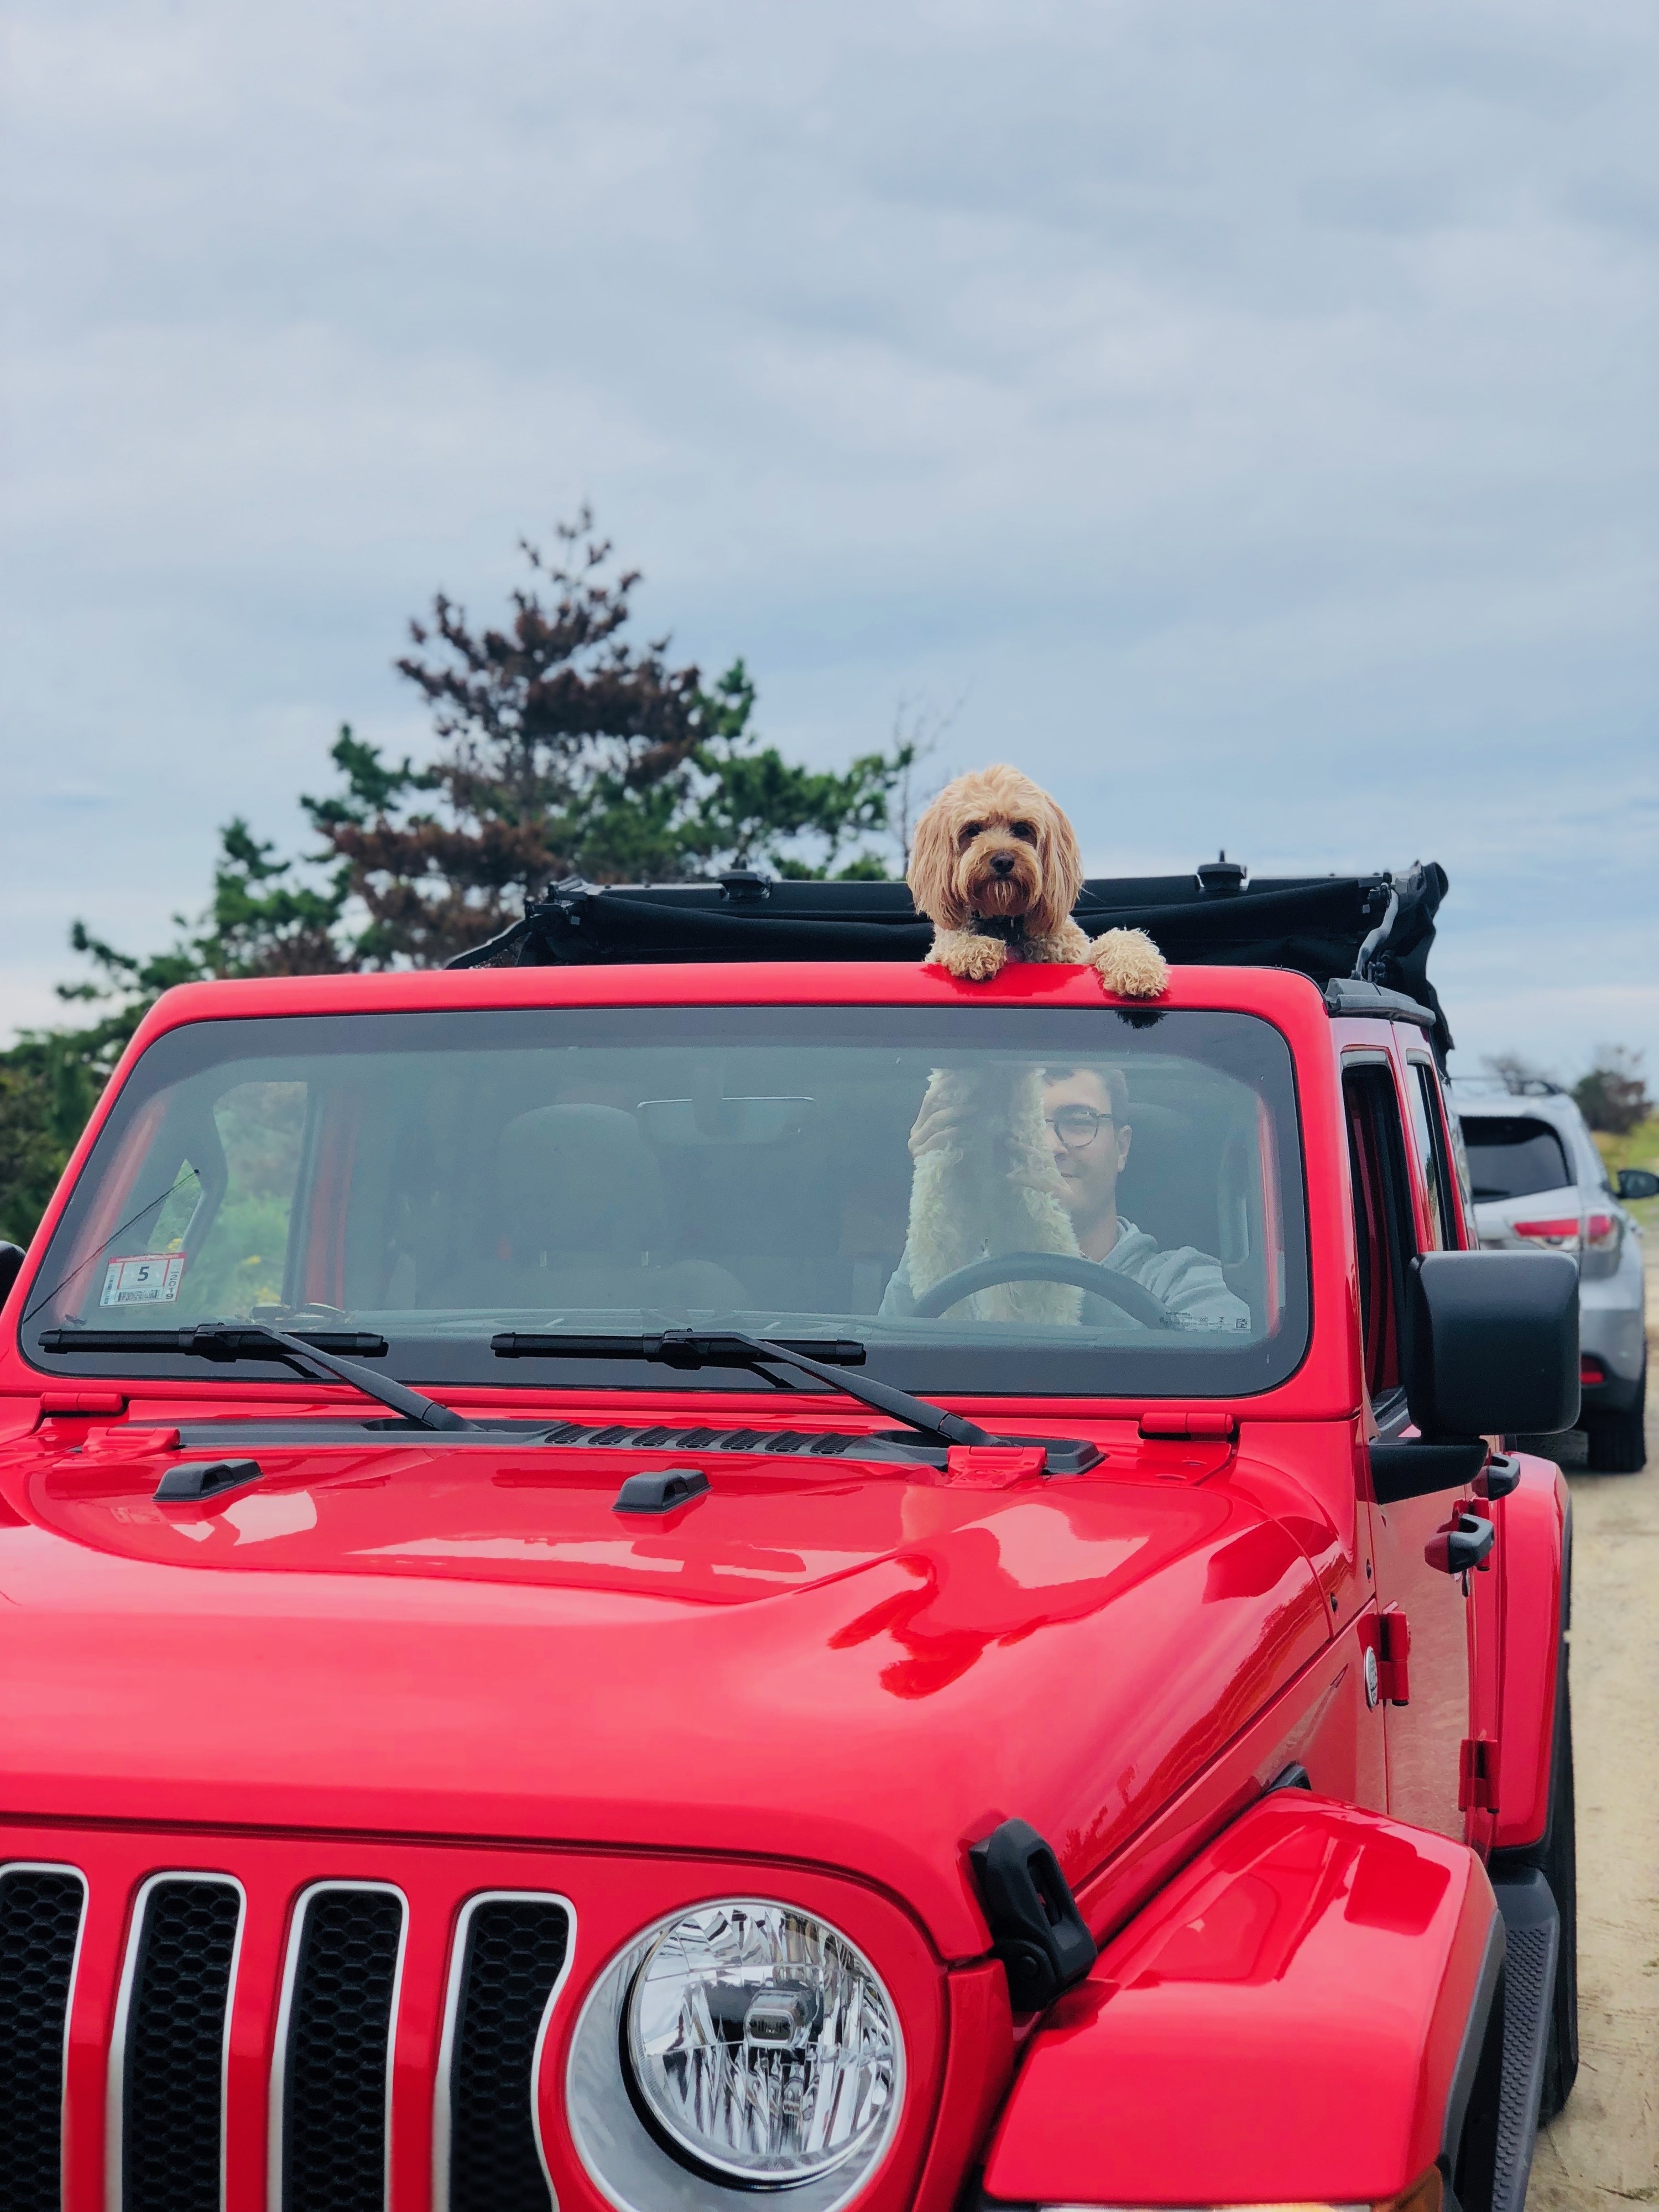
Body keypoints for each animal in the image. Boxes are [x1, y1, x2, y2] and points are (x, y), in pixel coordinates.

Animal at [911, 770, 1168, 995]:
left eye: (1022, 828)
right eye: (972, 830)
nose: (1003, 860)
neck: (1006, 924)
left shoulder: (1075, 957)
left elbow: (1117, 939)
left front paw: (1139, 969)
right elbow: (952, 940)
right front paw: (974, 949)